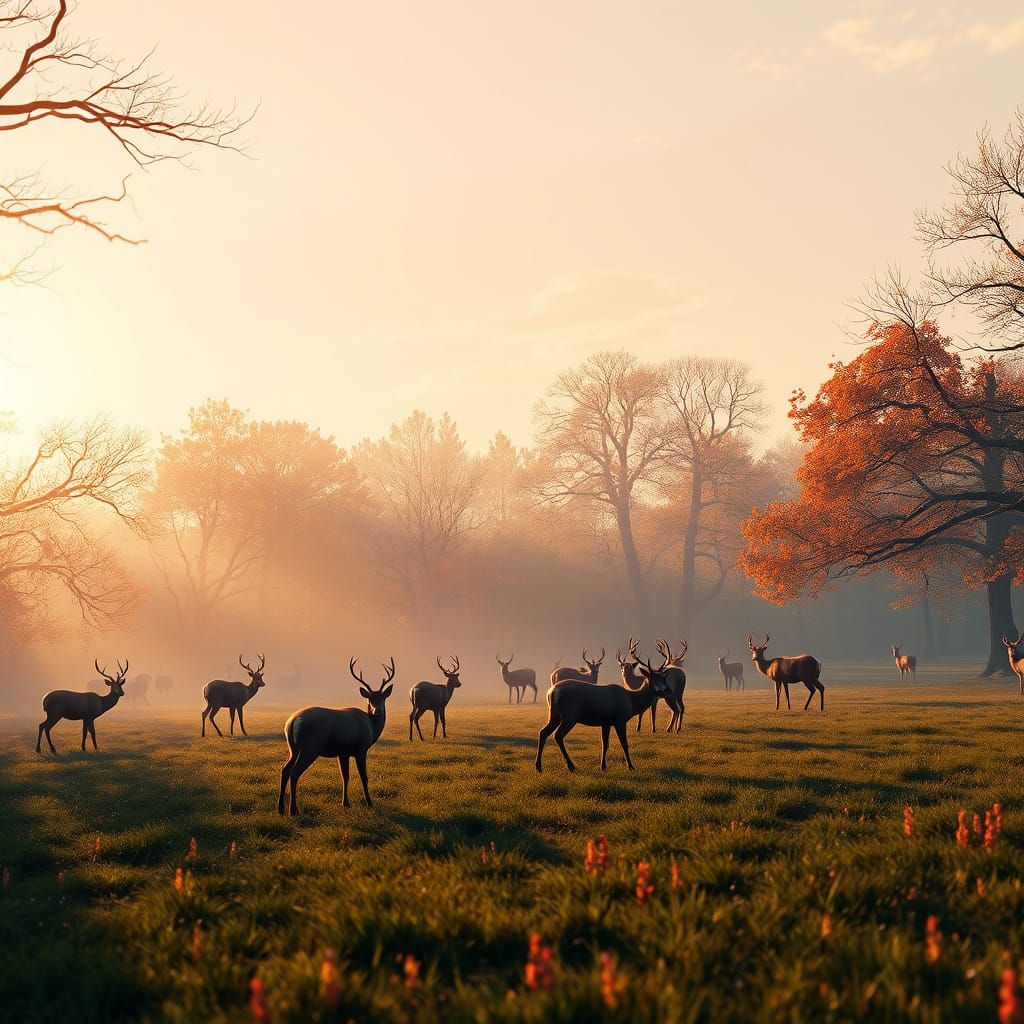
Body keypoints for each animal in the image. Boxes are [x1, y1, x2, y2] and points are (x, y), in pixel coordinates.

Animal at [278, 658, 395, 815]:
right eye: (370, 699)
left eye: (383, 698)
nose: (377, 711)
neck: (371, 727)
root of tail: (292, 722)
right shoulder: (361, 749)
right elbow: (364, 777)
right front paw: (370, 803)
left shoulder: (343, 753)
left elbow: (345, 777)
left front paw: (345, 803)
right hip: (310, 747)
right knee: (294, 772)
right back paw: (293, 810)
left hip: (293, 748)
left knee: (285, 769)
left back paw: (280, 808)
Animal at [536, 657, 673, 773]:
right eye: (653, 678)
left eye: (664, 678)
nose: (668, 690)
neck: (632, 701)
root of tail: (552, 692)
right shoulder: (620, 719)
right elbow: (624, 744)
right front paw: (631, 766)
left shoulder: (606, 722)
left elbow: (604, 744)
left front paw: (603, 766)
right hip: (570, 714)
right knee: (557, 735)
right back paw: (571, 766)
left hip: (554, 714)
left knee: (543, 732)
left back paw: (539, 767)